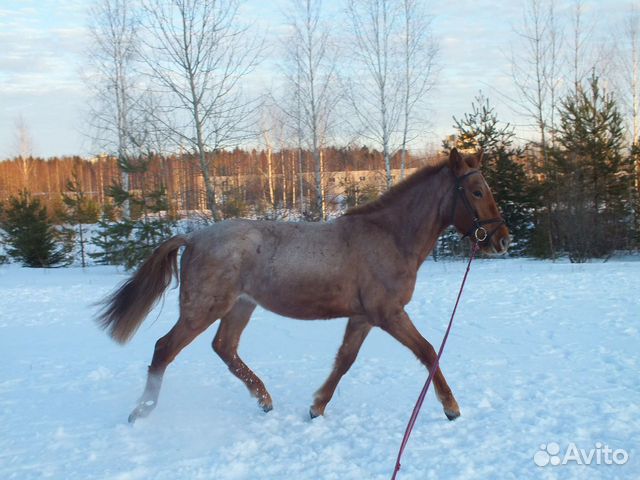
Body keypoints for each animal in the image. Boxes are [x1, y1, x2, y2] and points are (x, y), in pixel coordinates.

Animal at [97, 147, 510, 424]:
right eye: (476, 192)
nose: (502, 239)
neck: (389, 237)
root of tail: (194, 237)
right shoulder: (388, 313)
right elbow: (427, 351)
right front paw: (451, 407)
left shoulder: (363, 317)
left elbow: (344, 360)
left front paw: (316, 406)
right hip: (203, 308)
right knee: (165, 348)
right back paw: (142, 410)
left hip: (241, 306)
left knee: (224, 348)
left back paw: (263, 399)